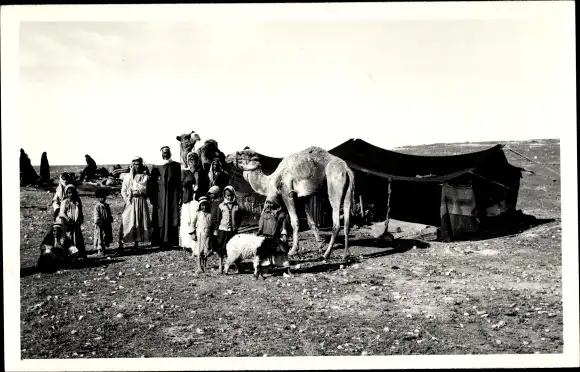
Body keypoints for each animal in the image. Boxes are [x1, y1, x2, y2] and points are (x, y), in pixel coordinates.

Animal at [225, 145, 354, 258]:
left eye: (241, 153)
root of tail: (347, 169)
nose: (227, 156)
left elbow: (294, 221)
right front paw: (319, 246)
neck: (273, 180)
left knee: (336, 222)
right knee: (347, 222)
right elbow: (310, 222)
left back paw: (327, 254)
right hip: (348, 191)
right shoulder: (301, 198)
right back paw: (345, 254)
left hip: (335, 184)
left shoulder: (287, 193)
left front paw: (293, 250)